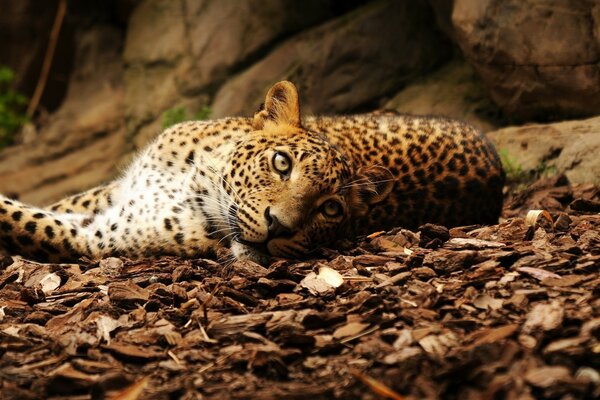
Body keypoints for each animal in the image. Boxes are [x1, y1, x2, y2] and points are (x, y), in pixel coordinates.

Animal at [0, 79, 504, 264]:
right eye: (282, 163)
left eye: (330, 209)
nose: (279, 226)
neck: (194, 180)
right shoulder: (115, 192)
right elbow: (58, 201)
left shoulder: (97, 238)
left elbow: (20, 219)